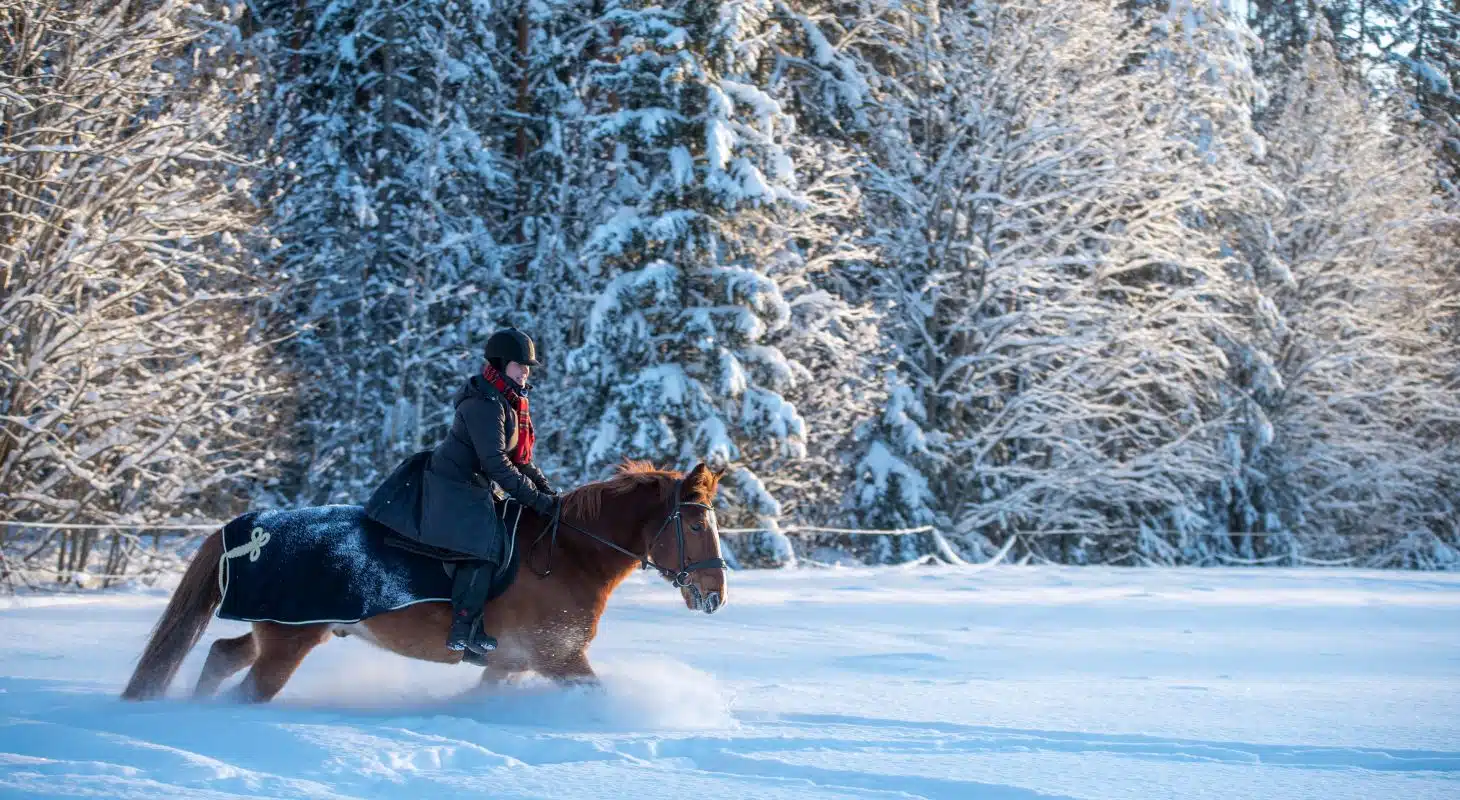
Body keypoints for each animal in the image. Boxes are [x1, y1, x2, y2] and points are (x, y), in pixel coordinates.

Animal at [121, 461, 728, 702]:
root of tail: (246, 528)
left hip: (281, 630)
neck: (568, 555)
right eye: (698, 524)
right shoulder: (557, 658)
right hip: (289, 640)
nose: (716, 597)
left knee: (222, 654)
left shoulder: (512, 661)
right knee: (247, 687)